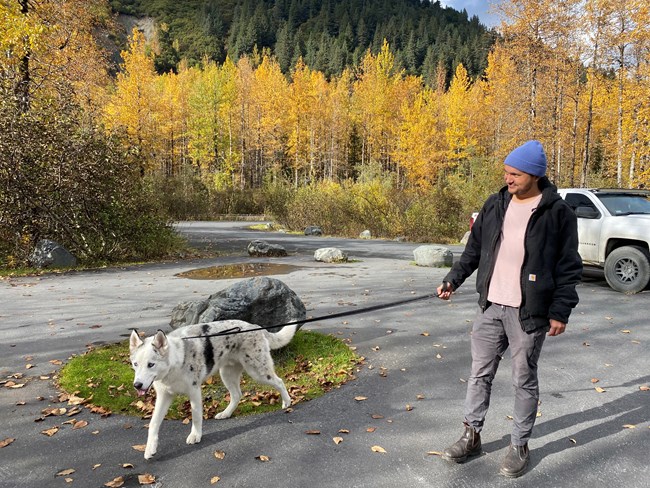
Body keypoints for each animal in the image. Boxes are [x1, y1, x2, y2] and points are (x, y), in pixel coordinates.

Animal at [129, 318, 296, 460]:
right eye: (135, 364)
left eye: (151, 364)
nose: (137, 385)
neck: (174, 364)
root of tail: (255, 326)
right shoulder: (164, 396)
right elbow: (153, 424)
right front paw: (150, 449)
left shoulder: (194, 392)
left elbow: (196, 417)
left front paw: (195, 435)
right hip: (227, 374)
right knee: (237, 395)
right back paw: (226, 413)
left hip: (258, 372)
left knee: (279, 382)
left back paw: (287, 402)